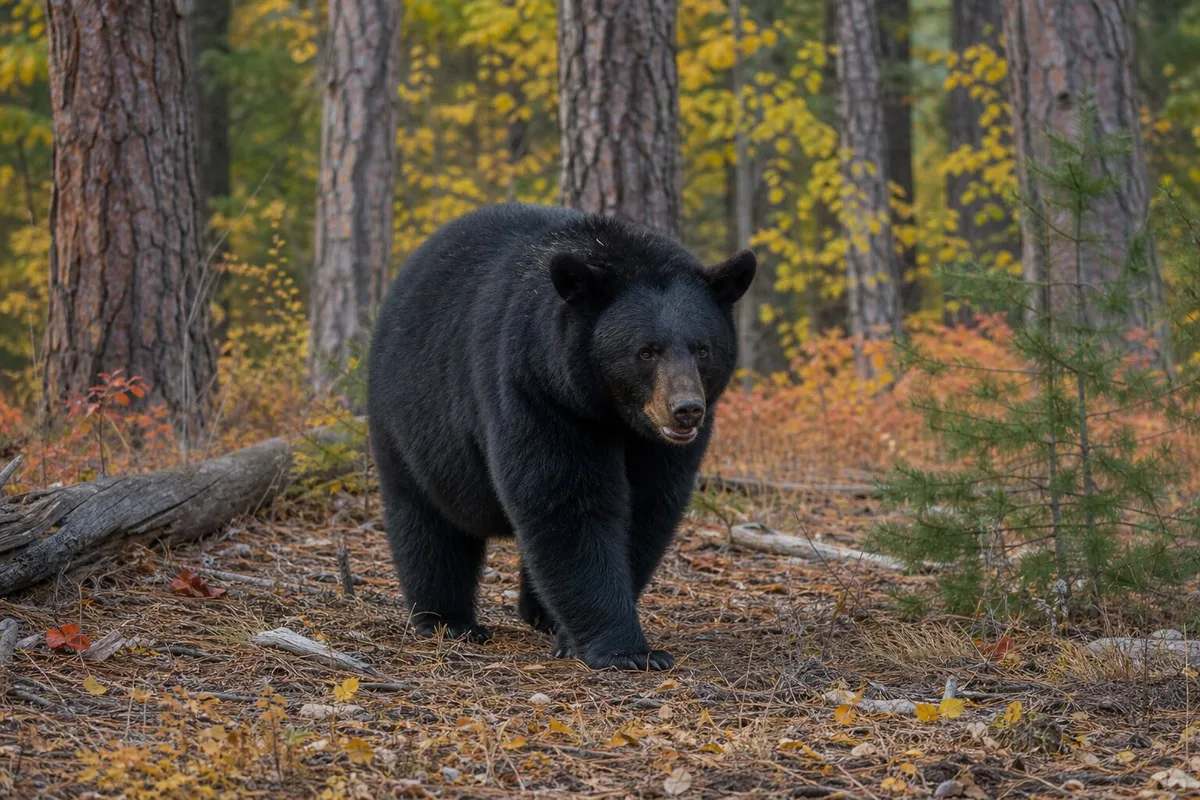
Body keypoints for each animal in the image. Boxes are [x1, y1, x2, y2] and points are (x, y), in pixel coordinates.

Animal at [367, 202, 755, 671]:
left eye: (702, 348)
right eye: (646, 351)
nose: (686, 409)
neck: (611, 414)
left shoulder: (657, 447)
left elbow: (647, 508)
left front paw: (574, 633)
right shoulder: (537, 391)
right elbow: (568, 501)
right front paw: (627, 650)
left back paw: (539, 612)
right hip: (410, 424)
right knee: (429, 524)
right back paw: (447, 620)